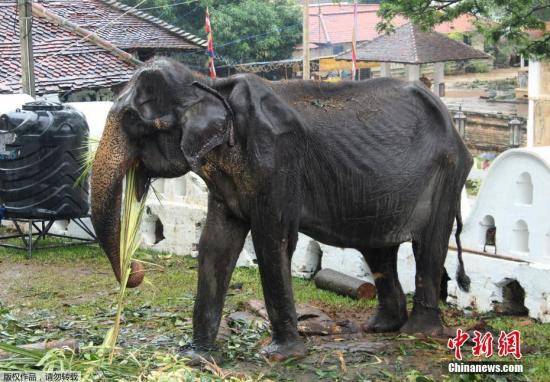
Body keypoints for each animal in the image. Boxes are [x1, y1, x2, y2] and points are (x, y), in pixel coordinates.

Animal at [90, 57, 474, 364]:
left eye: (134, 122)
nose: (137, 270)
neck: (210, 86)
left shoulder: (277, 160)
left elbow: (273, 242)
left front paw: (280, 355)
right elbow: (215, 245)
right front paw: (194, 356)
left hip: (447, 174)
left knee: (428, 246)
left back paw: (419, 333)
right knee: (378, 249)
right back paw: (381, 328)